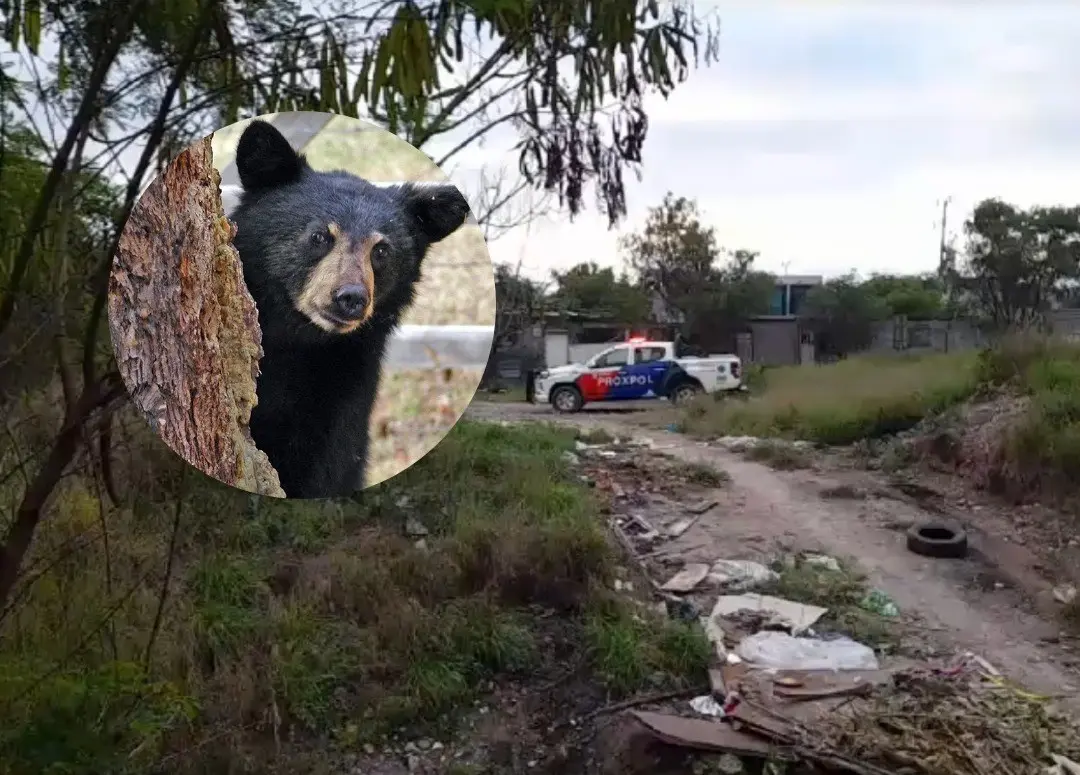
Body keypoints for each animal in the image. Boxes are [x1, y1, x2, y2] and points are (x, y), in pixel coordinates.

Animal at [230, 119, 470, 498]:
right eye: (319, 236)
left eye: (381, 250)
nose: (351, 298)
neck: (298, 342)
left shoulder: (343, 389)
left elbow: (329, 465)